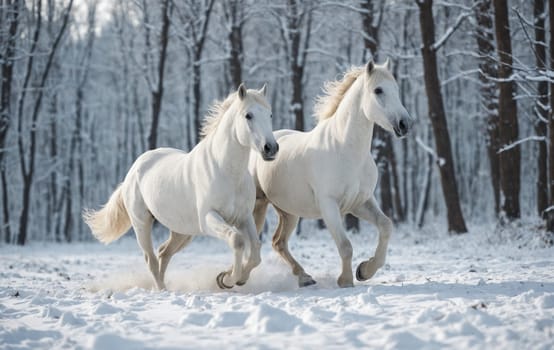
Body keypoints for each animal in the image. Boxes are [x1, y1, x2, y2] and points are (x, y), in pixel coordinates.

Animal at [84, 84, 278, 290]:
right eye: (248, 115)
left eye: (270, 114)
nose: (271, 148)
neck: (226, 171)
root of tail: (134, 169)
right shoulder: (209, 218)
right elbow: (237, 240)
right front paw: (227, 279)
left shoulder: (243, 217)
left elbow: (255, 250)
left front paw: (238, 277)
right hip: (142, 224)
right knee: (151, 259)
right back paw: (161, 290)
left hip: (182, 231)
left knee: (164, 253)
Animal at [248, 60, 412, 288]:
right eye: (378, 90)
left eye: (396, 88)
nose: (405, 124)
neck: (345, 150)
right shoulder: (329, 206)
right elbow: (345, 245)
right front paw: (346, 280)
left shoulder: (360, 203)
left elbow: (386, 226)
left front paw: (364, 271)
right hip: (258, 205)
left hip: (289, 212)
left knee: (278, 242)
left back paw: (304, 277)